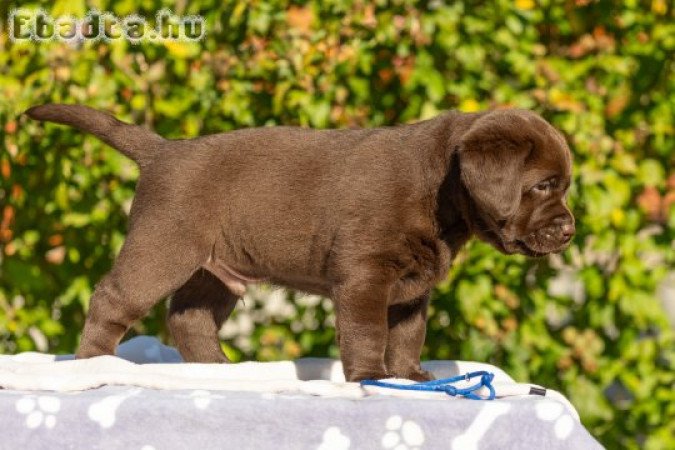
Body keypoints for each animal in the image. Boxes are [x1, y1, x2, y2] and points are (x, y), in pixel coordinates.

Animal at [27, 104, 576, 380]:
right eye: (543, 186)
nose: (569, 231)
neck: (438, 192)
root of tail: (162, 151)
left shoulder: (412, 286)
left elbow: (407, 335)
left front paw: (410, 377)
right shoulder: (364, 273)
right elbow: (369, 332)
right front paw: (368, 378)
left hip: (216, 267)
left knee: (189, 315)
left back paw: (218, 369)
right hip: (165, 243)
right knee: (113, 298)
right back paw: (92, 363)